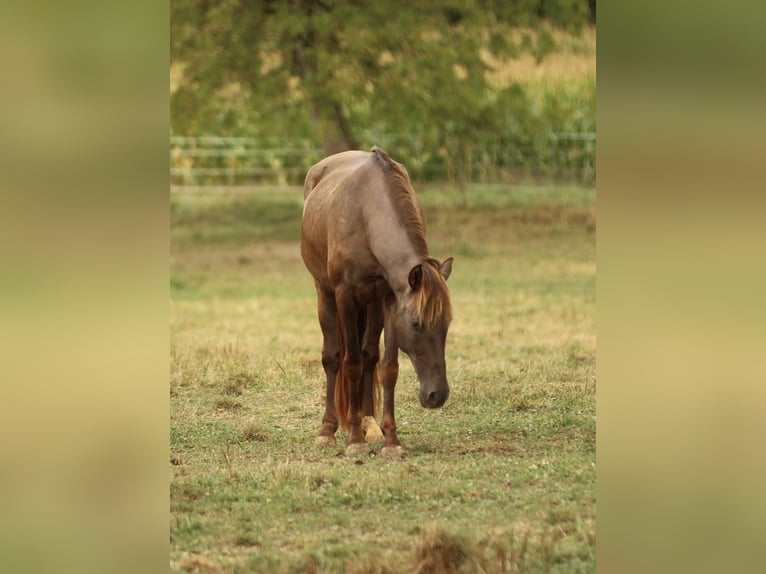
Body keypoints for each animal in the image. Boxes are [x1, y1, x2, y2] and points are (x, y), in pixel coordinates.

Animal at [302, 148, 456, 460]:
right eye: (417, 324)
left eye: (447, 324)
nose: (437, 395)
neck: (367, 213)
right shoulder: (346, 296)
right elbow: (350, 363)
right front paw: (354, 441)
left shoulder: (388, 298)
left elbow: (386, 367)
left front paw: (390, 440)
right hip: (325, 294)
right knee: (333, 357)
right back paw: (329, 430)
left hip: (370, 306)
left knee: (369, 356)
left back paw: (369, 425)